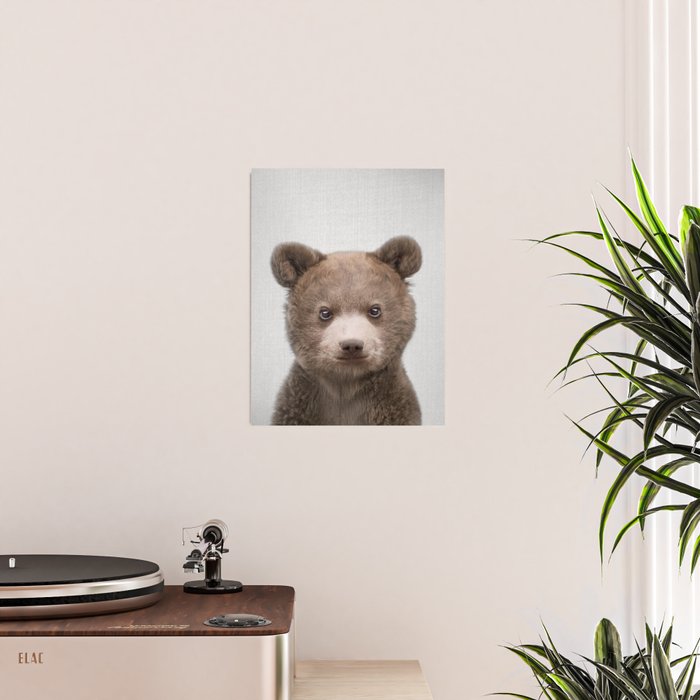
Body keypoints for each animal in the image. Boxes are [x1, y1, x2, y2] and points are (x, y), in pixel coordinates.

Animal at [269, 236, 422, 425]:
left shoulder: (393, 407)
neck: (346, 384)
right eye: (325, 312)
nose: (352, 345)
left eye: (375, 310)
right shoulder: (300, 406)